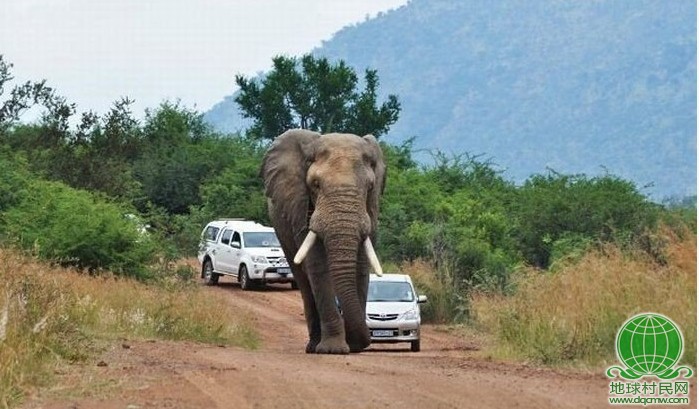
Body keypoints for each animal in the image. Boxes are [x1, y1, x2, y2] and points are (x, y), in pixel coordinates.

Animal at [262, 129, 386, 352]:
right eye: (316, 185)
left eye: (370, 186)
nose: (361, 343)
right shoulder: (301, 209)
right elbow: (318, 266)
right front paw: (333, 350)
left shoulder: (371, 212)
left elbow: (361, 266)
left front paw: (352, 347)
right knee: (303, 280)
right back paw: (313, 346)